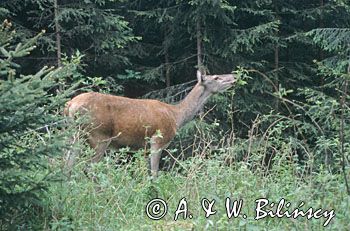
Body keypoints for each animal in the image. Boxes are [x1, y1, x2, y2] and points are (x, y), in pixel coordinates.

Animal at [64, 71, 237, 178]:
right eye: (216, 77)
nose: (234, 77)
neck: (176, 116)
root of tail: (70, 105)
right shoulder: (158, 140)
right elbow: (154, 173)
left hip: (75, 136)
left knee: (67, 164)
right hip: (99, 135)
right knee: (89, 168)